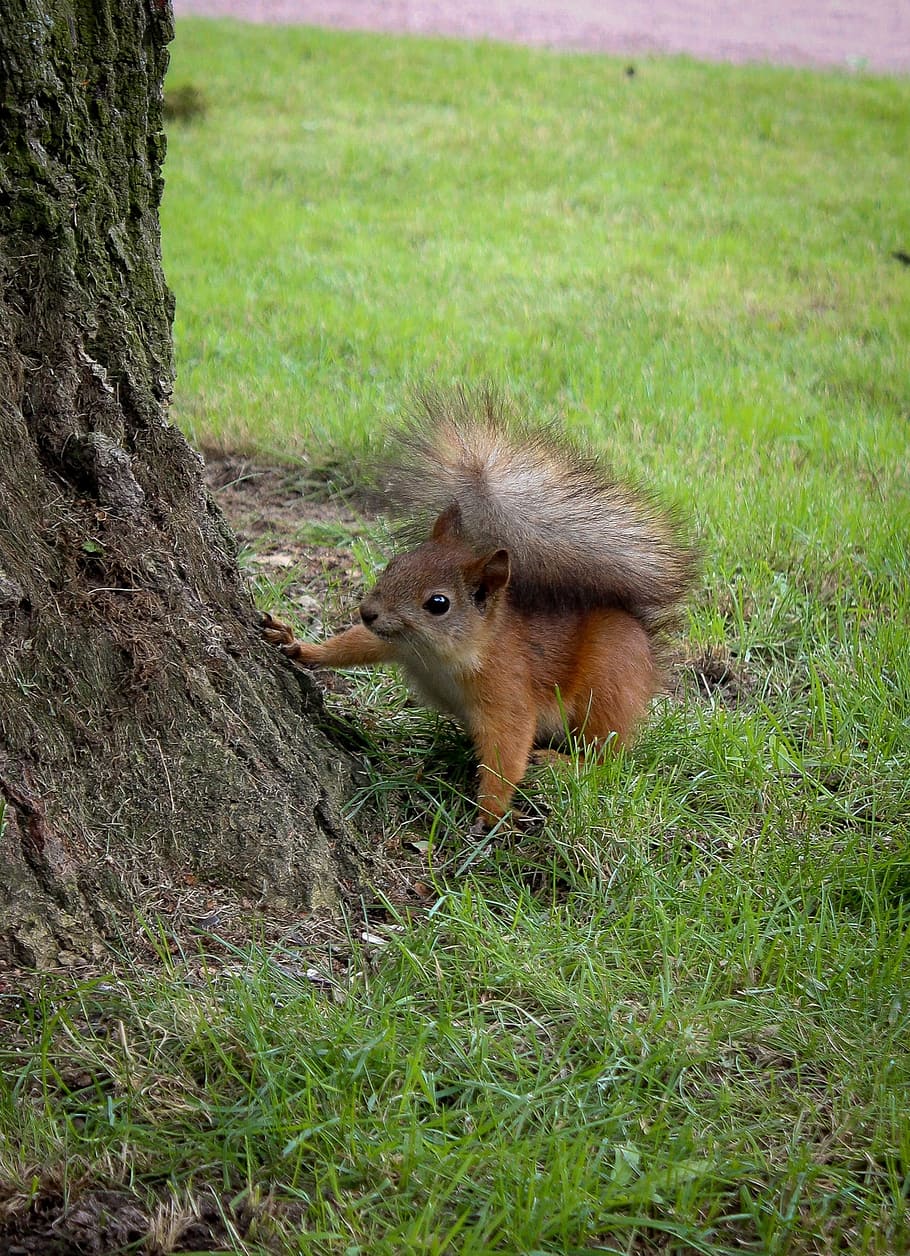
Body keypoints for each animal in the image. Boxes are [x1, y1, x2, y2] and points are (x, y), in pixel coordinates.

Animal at [262, 387, 696, 827]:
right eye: (395, 564)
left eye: (438, 604)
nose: (368, 612)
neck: (441, 656)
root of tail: (643, 640)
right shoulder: (396, 641)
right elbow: (353, 645)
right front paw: (298, 645)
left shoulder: (506, 689)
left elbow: (507, 750)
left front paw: (490, 815)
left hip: (607, 684)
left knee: (607, 754)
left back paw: (561, 763)